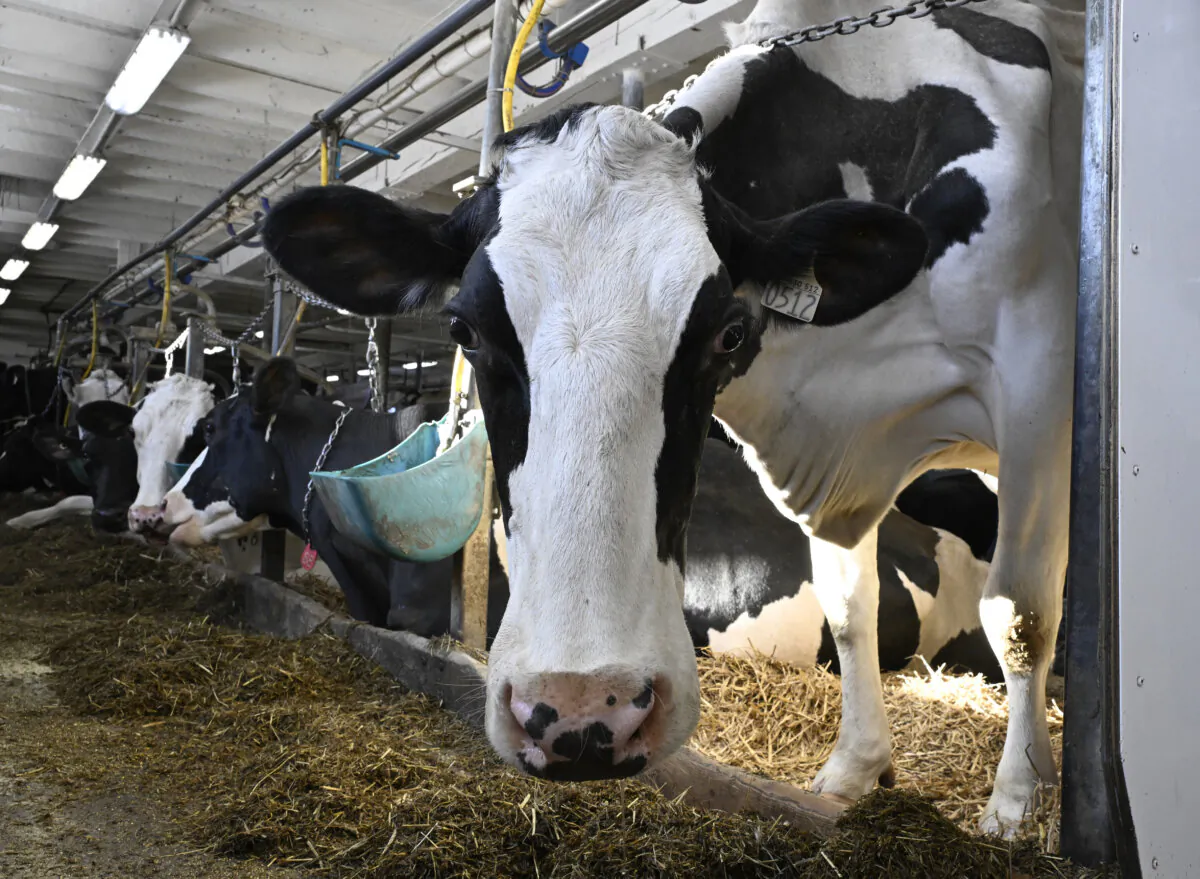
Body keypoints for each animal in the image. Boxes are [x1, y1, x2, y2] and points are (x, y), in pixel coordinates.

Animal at [259, 0, 1082, 833]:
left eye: (728, 333)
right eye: (464, 329)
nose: (584, 710)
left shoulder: (1036, 385)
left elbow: (1018, 612)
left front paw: (1016, 802)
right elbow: (852, 609)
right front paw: (853, 768)